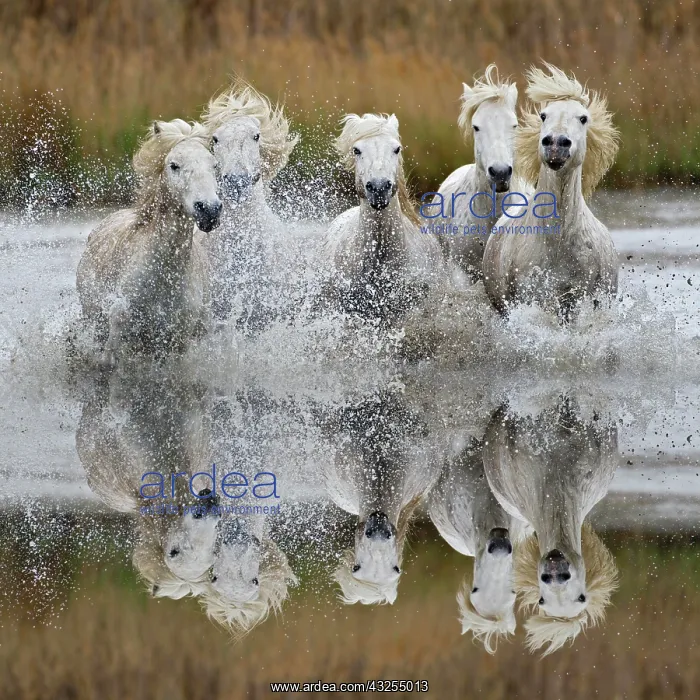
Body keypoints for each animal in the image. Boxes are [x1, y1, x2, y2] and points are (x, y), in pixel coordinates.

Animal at [483, 63, 620, 322]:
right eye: (543, 115)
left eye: (583, 118)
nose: (556, 143)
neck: (557, 242)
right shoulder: (532, 296)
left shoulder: (578, 299)